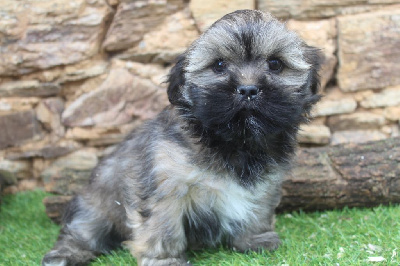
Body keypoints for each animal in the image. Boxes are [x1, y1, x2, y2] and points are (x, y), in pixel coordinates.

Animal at [42, 9, 320, 266]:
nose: (248, 89)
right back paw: (66, 254)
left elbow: (258, 209)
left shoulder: (264, 185)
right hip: (94, 207)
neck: (233, 142)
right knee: (81, 232)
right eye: (219, 65)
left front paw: (255, 239)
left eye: (275, 64)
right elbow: (162, 225)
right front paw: (164, 259)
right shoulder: (164, 183)